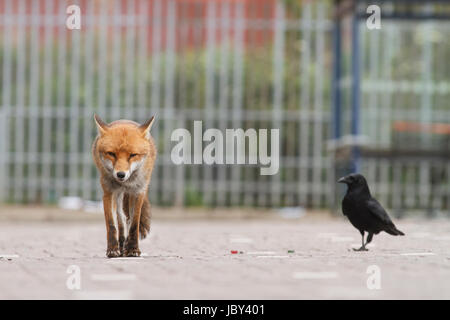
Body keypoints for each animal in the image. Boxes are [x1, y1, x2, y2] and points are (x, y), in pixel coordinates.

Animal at [91, 115, 156, 258]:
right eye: (111, 153)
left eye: (132, 155)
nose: (120, 174)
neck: (126, 183)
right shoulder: (108, 192)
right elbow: (111, 224)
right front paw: (112, 249)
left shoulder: (138, 192)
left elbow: (134, 224)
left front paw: (132, 249)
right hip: (119, 196)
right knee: (121, 220)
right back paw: (121, 246)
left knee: (127, 220)